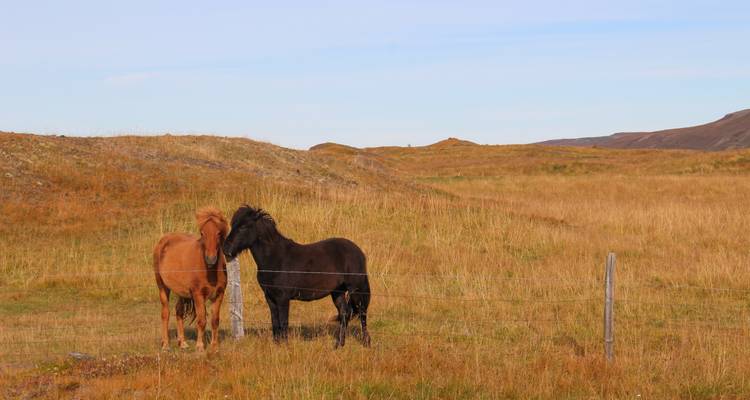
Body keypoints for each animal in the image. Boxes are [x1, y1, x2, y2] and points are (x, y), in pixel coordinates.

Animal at [153, 207, 229, 351]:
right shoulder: (198, 294)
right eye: (202, 233)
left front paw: (214, 346)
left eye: (218, 233)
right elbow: (201, 320)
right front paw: (200, 346)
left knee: (179, 311)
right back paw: (165, 345)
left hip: (181, 292)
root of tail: (163, 240)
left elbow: (215, 320)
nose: (211, 259)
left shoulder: (219, 294)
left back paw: (182, 343)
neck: (209, 270)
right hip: (162, 287)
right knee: (165, 313)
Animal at [223, 205, 371, 348]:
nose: (226, 249)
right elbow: (275, 322)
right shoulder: (270, 297)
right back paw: (339, 345)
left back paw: (366, 343)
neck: (275, 258)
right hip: (337, 292)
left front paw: (284, 346)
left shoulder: (283, 298)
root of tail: (358, 252)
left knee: (362, 313)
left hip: (355, 290)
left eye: (243, 227)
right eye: (233, 225)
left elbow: (283, 322)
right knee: (345, 313)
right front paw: (277, 345)